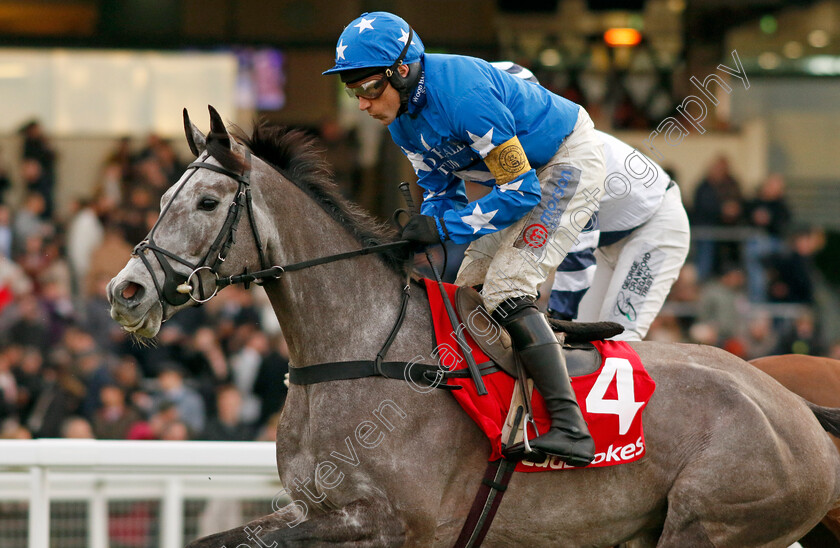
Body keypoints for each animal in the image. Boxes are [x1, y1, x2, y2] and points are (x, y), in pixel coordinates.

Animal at [110, 106, 840, 544]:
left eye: (207, 202)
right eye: (162, 196)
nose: (126, 290)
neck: (360, 348)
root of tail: (794, 408)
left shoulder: (385, 524)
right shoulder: (310, 508)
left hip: (713, 522)